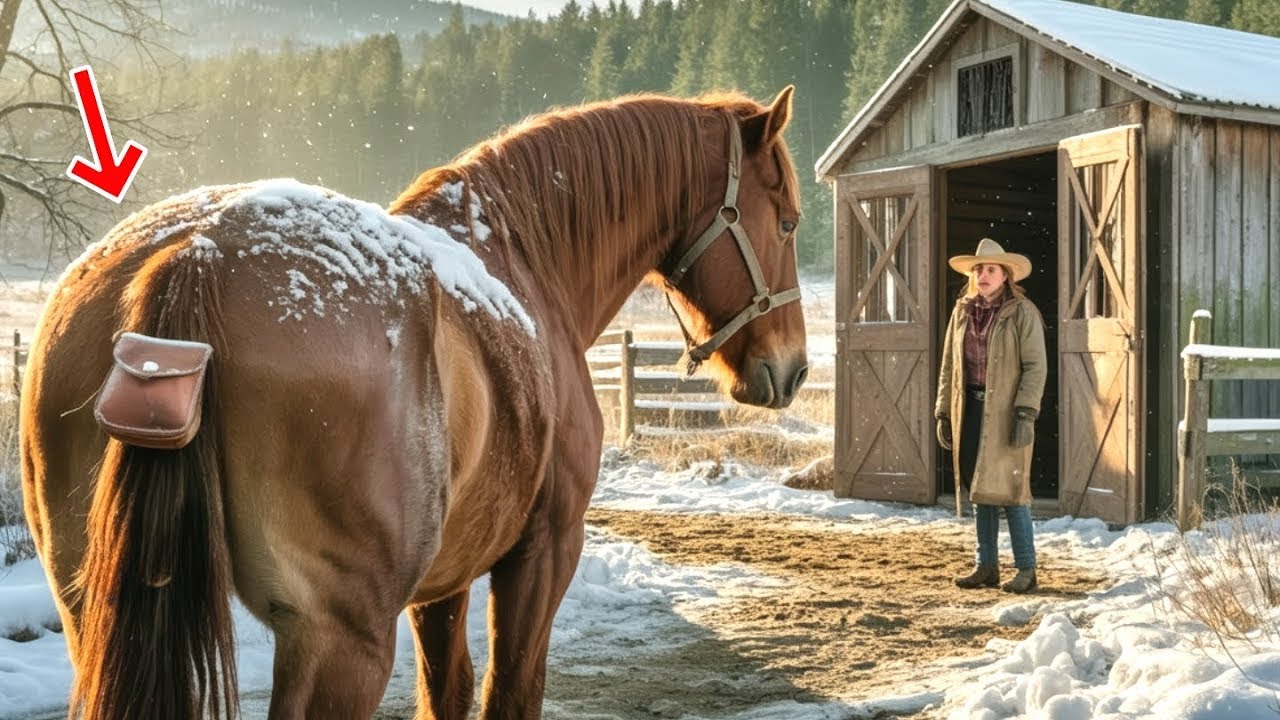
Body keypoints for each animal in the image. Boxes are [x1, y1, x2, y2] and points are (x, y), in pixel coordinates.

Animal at [21, 87, 807, 719]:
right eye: (789, 220)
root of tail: (198, 256)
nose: (793, 368)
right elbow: (509, 693)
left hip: (93, 616)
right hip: (339, 642)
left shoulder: (443, 584)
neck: (524, 256)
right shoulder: (542, 554)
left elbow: (447, 690)